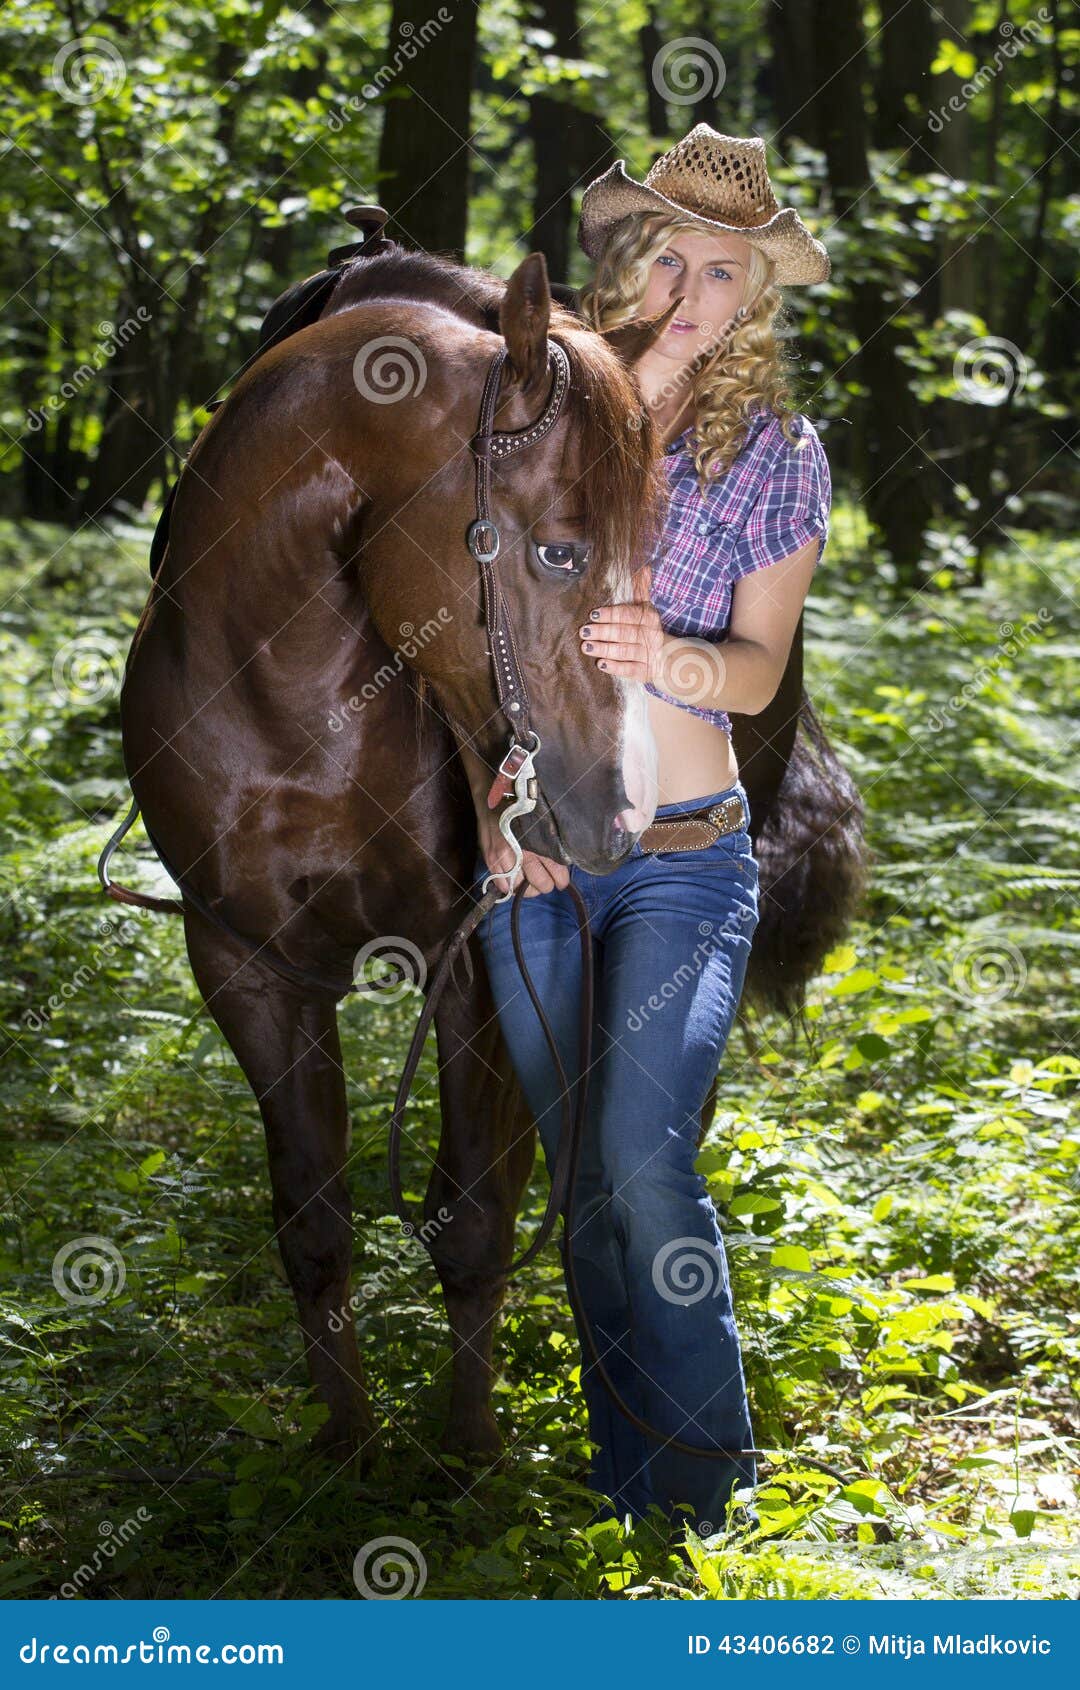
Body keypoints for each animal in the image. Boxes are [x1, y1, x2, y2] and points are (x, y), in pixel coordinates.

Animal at [118, 245, 865, 1473]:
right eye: (559, 548)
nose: (612, 816)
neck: (290, 703)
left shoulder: (474, 961)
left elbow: (474, 1218)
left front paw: (468, 1457)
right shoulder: (245, 966)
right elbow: (314, 1222)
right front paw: (350, 1450)